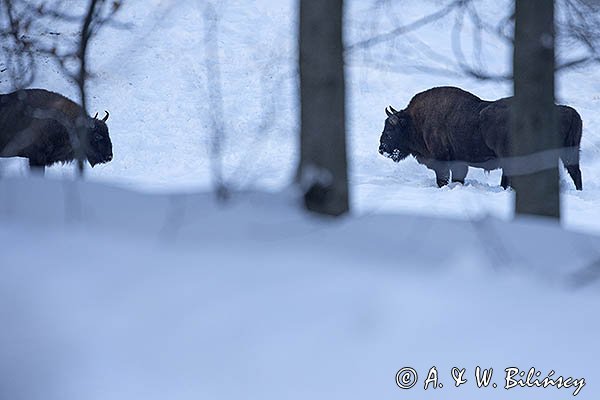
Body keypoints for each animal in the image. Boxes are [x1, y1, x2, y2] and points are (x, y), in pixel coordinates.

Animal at [380, 85, 580, 191]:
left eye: (390, 130)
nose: (381, 149)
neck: (416, 122)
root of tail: (564, 111)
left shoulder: (442, 160)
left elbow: (443, 179)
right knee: (575, 172)